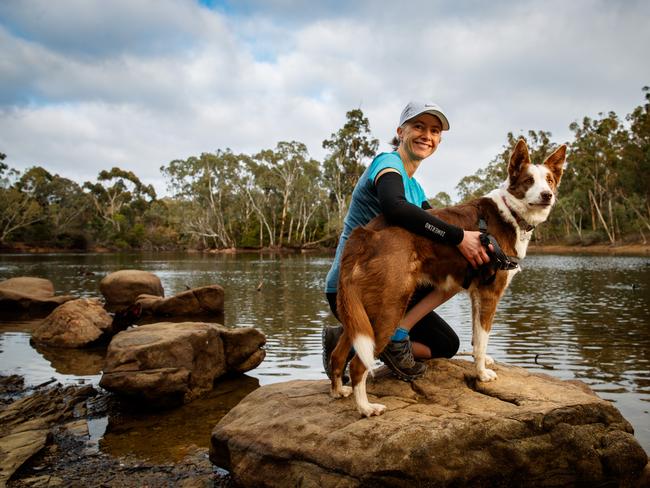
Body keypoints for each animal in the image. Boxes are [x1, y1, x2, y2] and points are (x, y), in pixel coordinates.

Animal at [330, 139, 560, 418]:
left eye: (549, 180)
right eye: (528, 180)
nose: (547, 195)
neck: (510, 212)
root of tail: (364, 233)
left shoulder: (476, 293)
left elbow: (477, 337)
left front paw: (482, 362)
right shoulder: (490, 293)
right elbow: (483, 339)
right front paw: (482, 374)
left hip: (362, 310)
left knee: (338, 353)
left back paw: (338, 391)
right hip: (389, 306)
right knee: (358, 365)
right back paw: (366, 408)